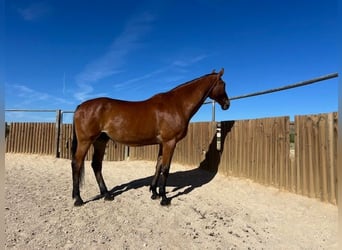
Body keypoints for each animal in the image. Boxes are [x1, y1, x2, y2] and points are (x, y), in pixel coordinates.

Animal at [71, 67, 230, 206]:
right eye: (223, 84)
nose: (227, 104)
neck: (177, 104)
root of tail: (80, 107)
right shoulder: (170, 142)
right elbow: (165, 168)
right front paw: (164, 198)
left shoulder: (162, 143)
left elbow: (158, 166)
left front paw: (154, 193)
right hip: (85, 141)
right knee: (77, 164)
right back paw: (78, 199)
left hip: (100, 141)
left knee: (96, 165)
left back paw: (107, 194)